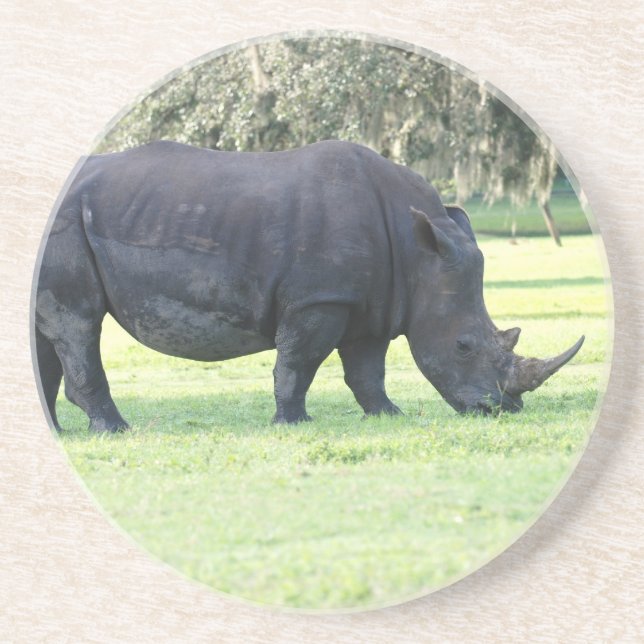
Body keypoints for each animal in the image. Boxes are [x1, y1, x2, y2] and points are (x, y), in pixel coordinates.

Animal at [33, 140, 584, 431]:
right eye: (464, 345)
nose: (502, 409)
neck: (417, 251)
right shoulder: (319, 299)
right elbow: (298, 362)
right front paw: (292, 423)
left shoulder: (373, 302)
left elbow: (367, 369)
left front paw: (387, 415)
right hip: (67, 224)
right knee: (78, 321)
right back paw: (115, 430)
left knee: (47, 328)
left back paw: (61, 433)